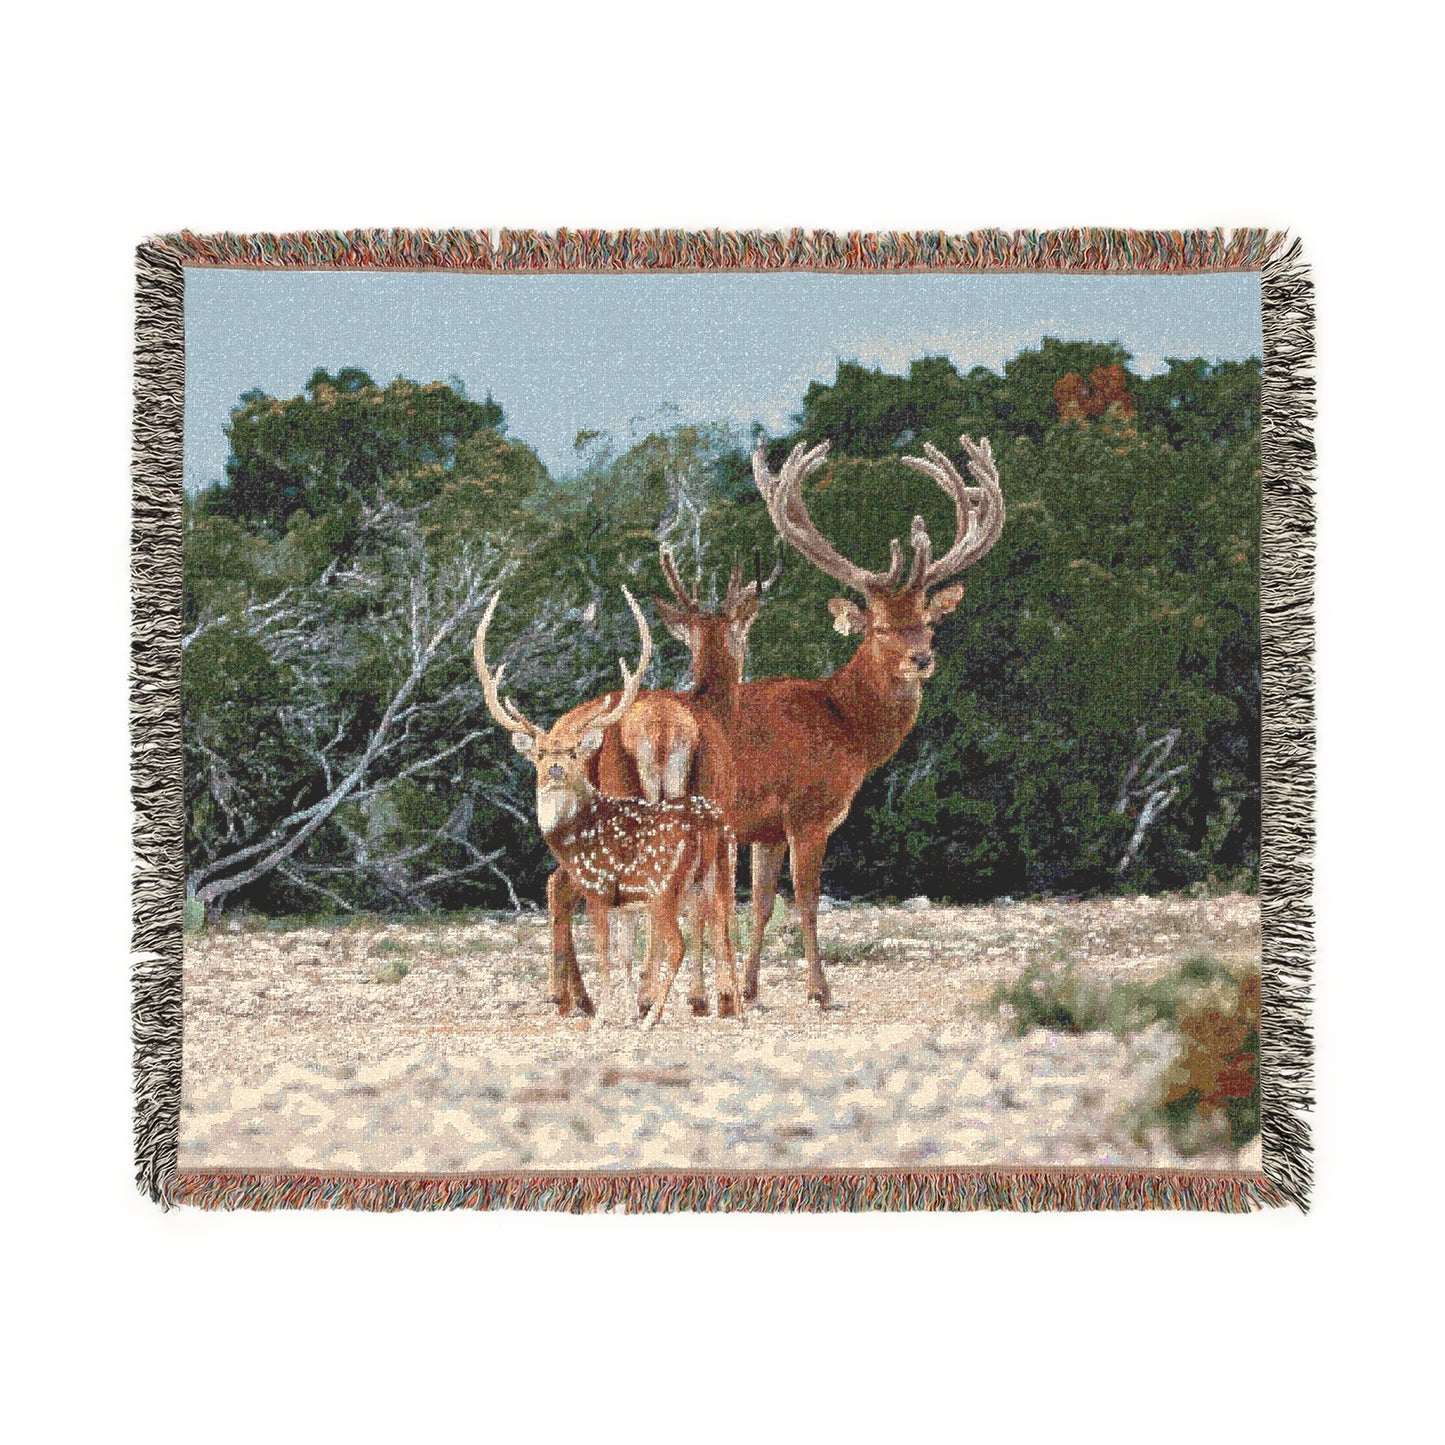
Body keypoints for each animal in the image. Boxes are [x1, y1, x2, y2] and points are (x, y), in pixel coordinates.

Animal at [474, 586, 741, 1028]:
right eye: (541, 753)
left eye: (571, 752)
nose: (556, 768)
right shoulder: (618, 895)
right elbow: (620, 950)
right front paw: (624, 1006)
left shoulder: (600, 887)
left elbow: (607, 951)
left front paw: (609, 1013)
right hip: (714, 868)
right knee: (720, 917)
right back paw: (728, 1004)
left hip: (666, 883)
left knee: (678, 937)